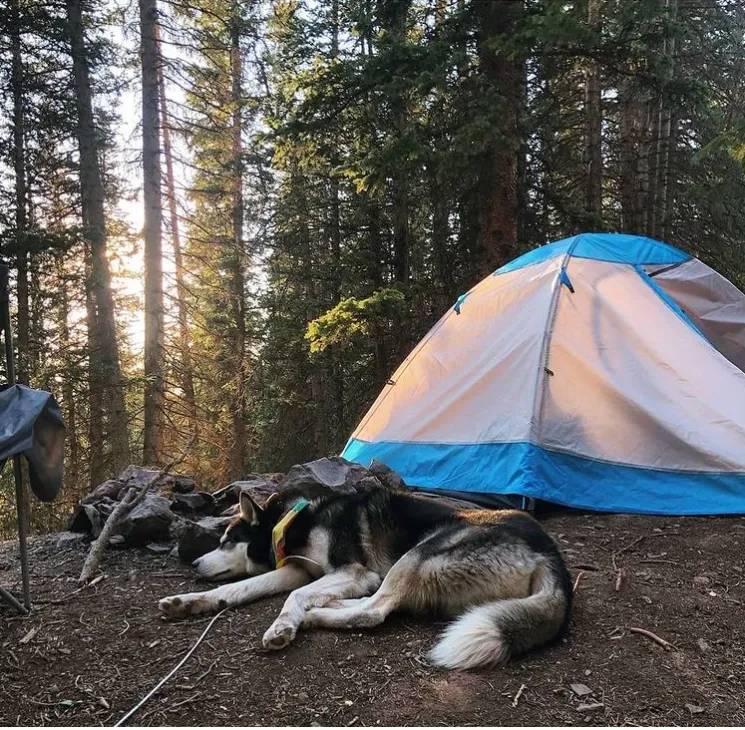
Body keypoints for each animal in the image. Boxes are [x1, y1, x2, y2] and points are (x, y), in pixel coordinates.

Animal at [160, 484, 572, 664]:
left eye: (227, 540)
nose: (194, 564)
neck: (293, 524)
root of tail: (552, 558)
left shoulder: (355, 571)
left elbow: (294, 597)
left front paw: (283, 627)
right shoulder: (299, 571)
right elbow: (245, 587)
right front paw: (189, 602)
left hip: (417, 553)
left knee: (375, 610)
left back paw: (317, 614)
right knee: (376, 605)